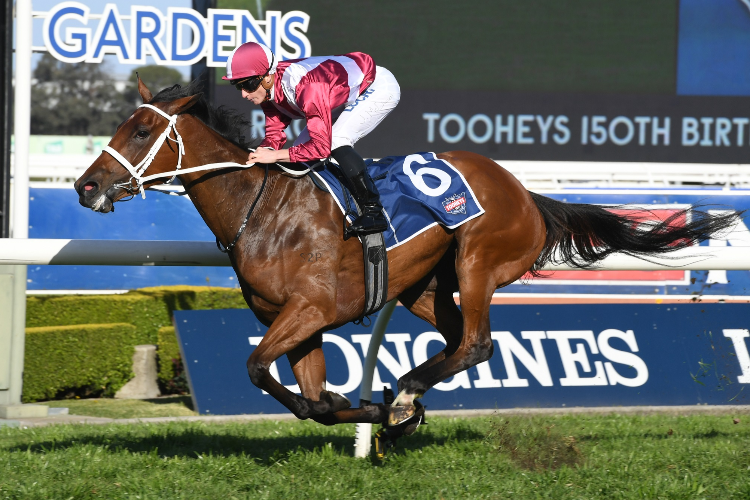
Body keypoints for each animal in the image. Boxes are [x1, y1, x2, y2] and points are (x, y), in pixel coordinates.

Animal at [76, 80, 740, 432]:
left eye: (141, 131)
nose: (86, 186)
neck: (263, 209)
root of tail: (525, 192)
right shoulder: (294, 321)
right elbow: (312, 399)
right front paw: (353, 407)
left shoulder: (312, 309)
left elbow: (258, 369)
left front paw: (371, 407)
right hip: (423, 287)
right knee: (456, 338)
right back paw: (403, 399)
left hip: (478, 260)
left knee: (477, 344)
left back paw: (403, 394)